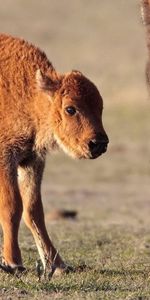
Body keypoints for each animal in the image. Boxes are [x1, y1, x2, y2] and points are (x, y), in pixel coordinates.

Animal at [0, 34, 108, 276]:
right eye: (70, 109)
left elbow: (33, 210)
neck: (30, 95)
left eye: (101, 107)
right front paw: (13, 262)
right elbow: (12, 207)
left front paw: (57, 265)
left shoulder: (32, 161)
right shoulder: (6, 159)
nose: (98, 144)